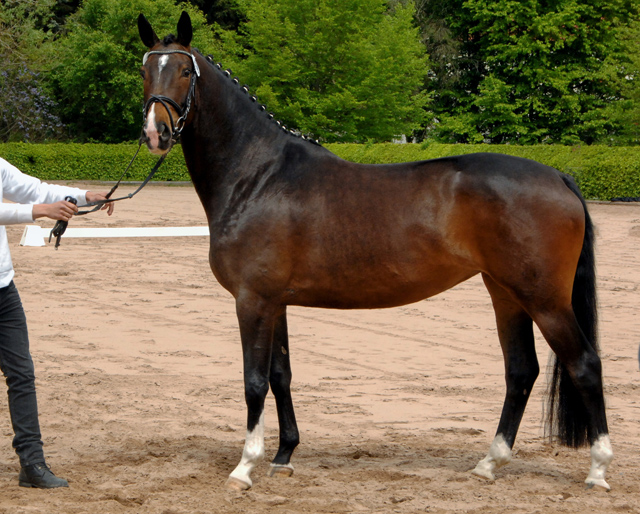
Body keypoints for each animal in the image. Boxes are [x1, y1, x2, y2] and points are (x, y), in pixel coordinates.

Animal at [138, 12, 612, 490]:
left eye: (184, 70)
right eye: (145, 70)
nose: (156, 133)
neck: (259, 176)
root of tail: (557, 176)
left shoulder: (252, 301)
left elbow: (254, 381)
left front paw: (245, 466)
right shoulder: (276, 302)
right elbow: (280, 376)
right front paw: (284, 454)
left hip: (544, 299)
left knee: (585, 365)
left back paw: (598, 468)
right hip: (506, 294)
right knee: (521, 371)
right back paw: (490, 463)